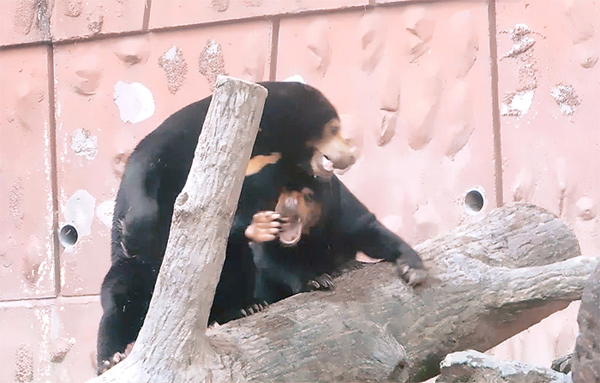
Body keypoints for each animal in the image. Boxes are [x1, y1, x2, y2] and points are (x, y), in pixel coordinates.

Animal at [96, 82, 358, 376]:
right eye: (334, 128)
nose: (351, 156)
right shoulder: (181, 147)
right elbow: (151, 189)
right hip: (134, 271)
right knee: (120, 299)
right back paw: (111, 357)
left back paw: (246, 307)